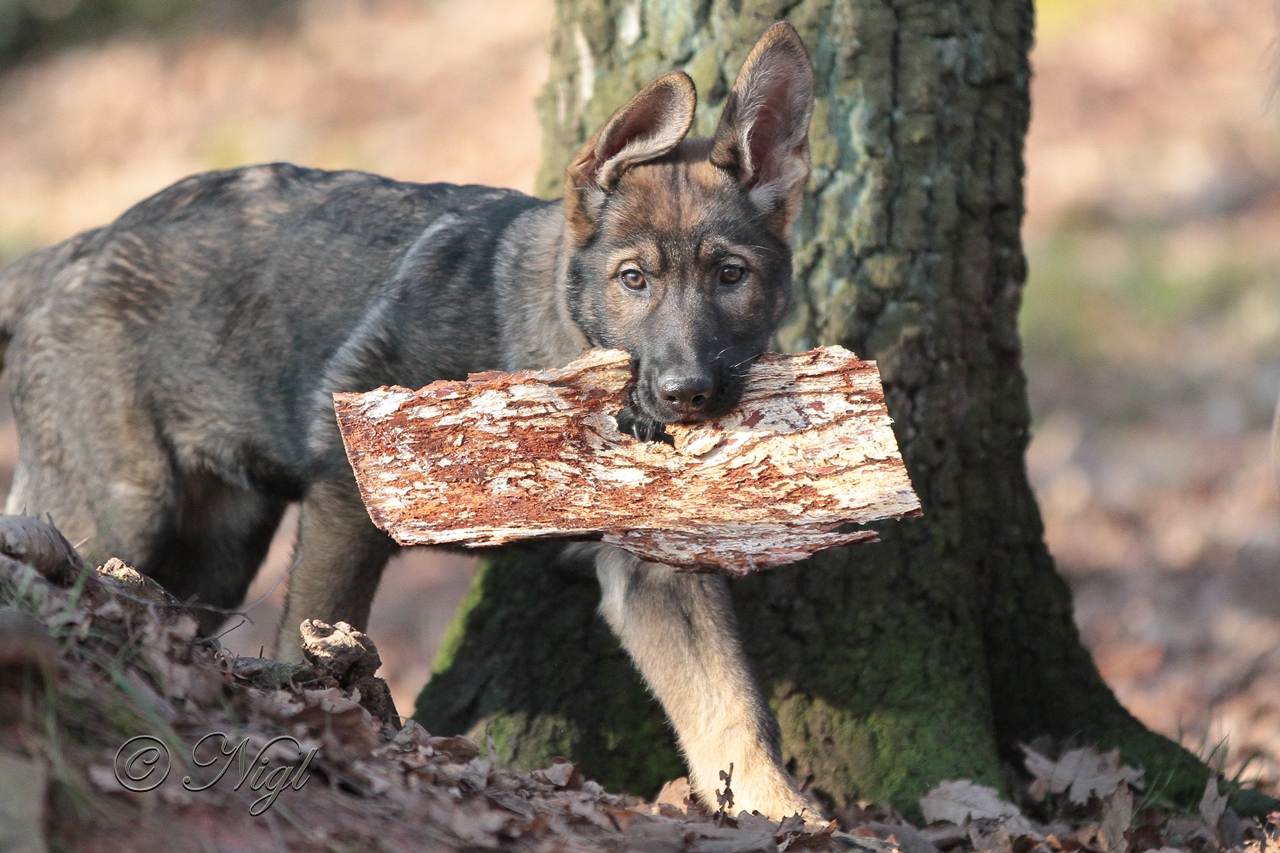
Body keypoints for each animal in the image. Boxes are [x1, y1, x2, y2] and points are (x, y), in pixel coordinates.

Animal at [0, 23, 814, 814]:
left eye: (731, 276)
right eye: (634, 279)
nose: (687, 393)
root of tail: (66, 254)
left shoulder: (656, 573)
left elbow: (732, 710)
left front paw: (788, 816)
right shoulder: (345, 498)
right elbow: (311, 648)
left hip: (216, 552)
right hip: (123, 506)